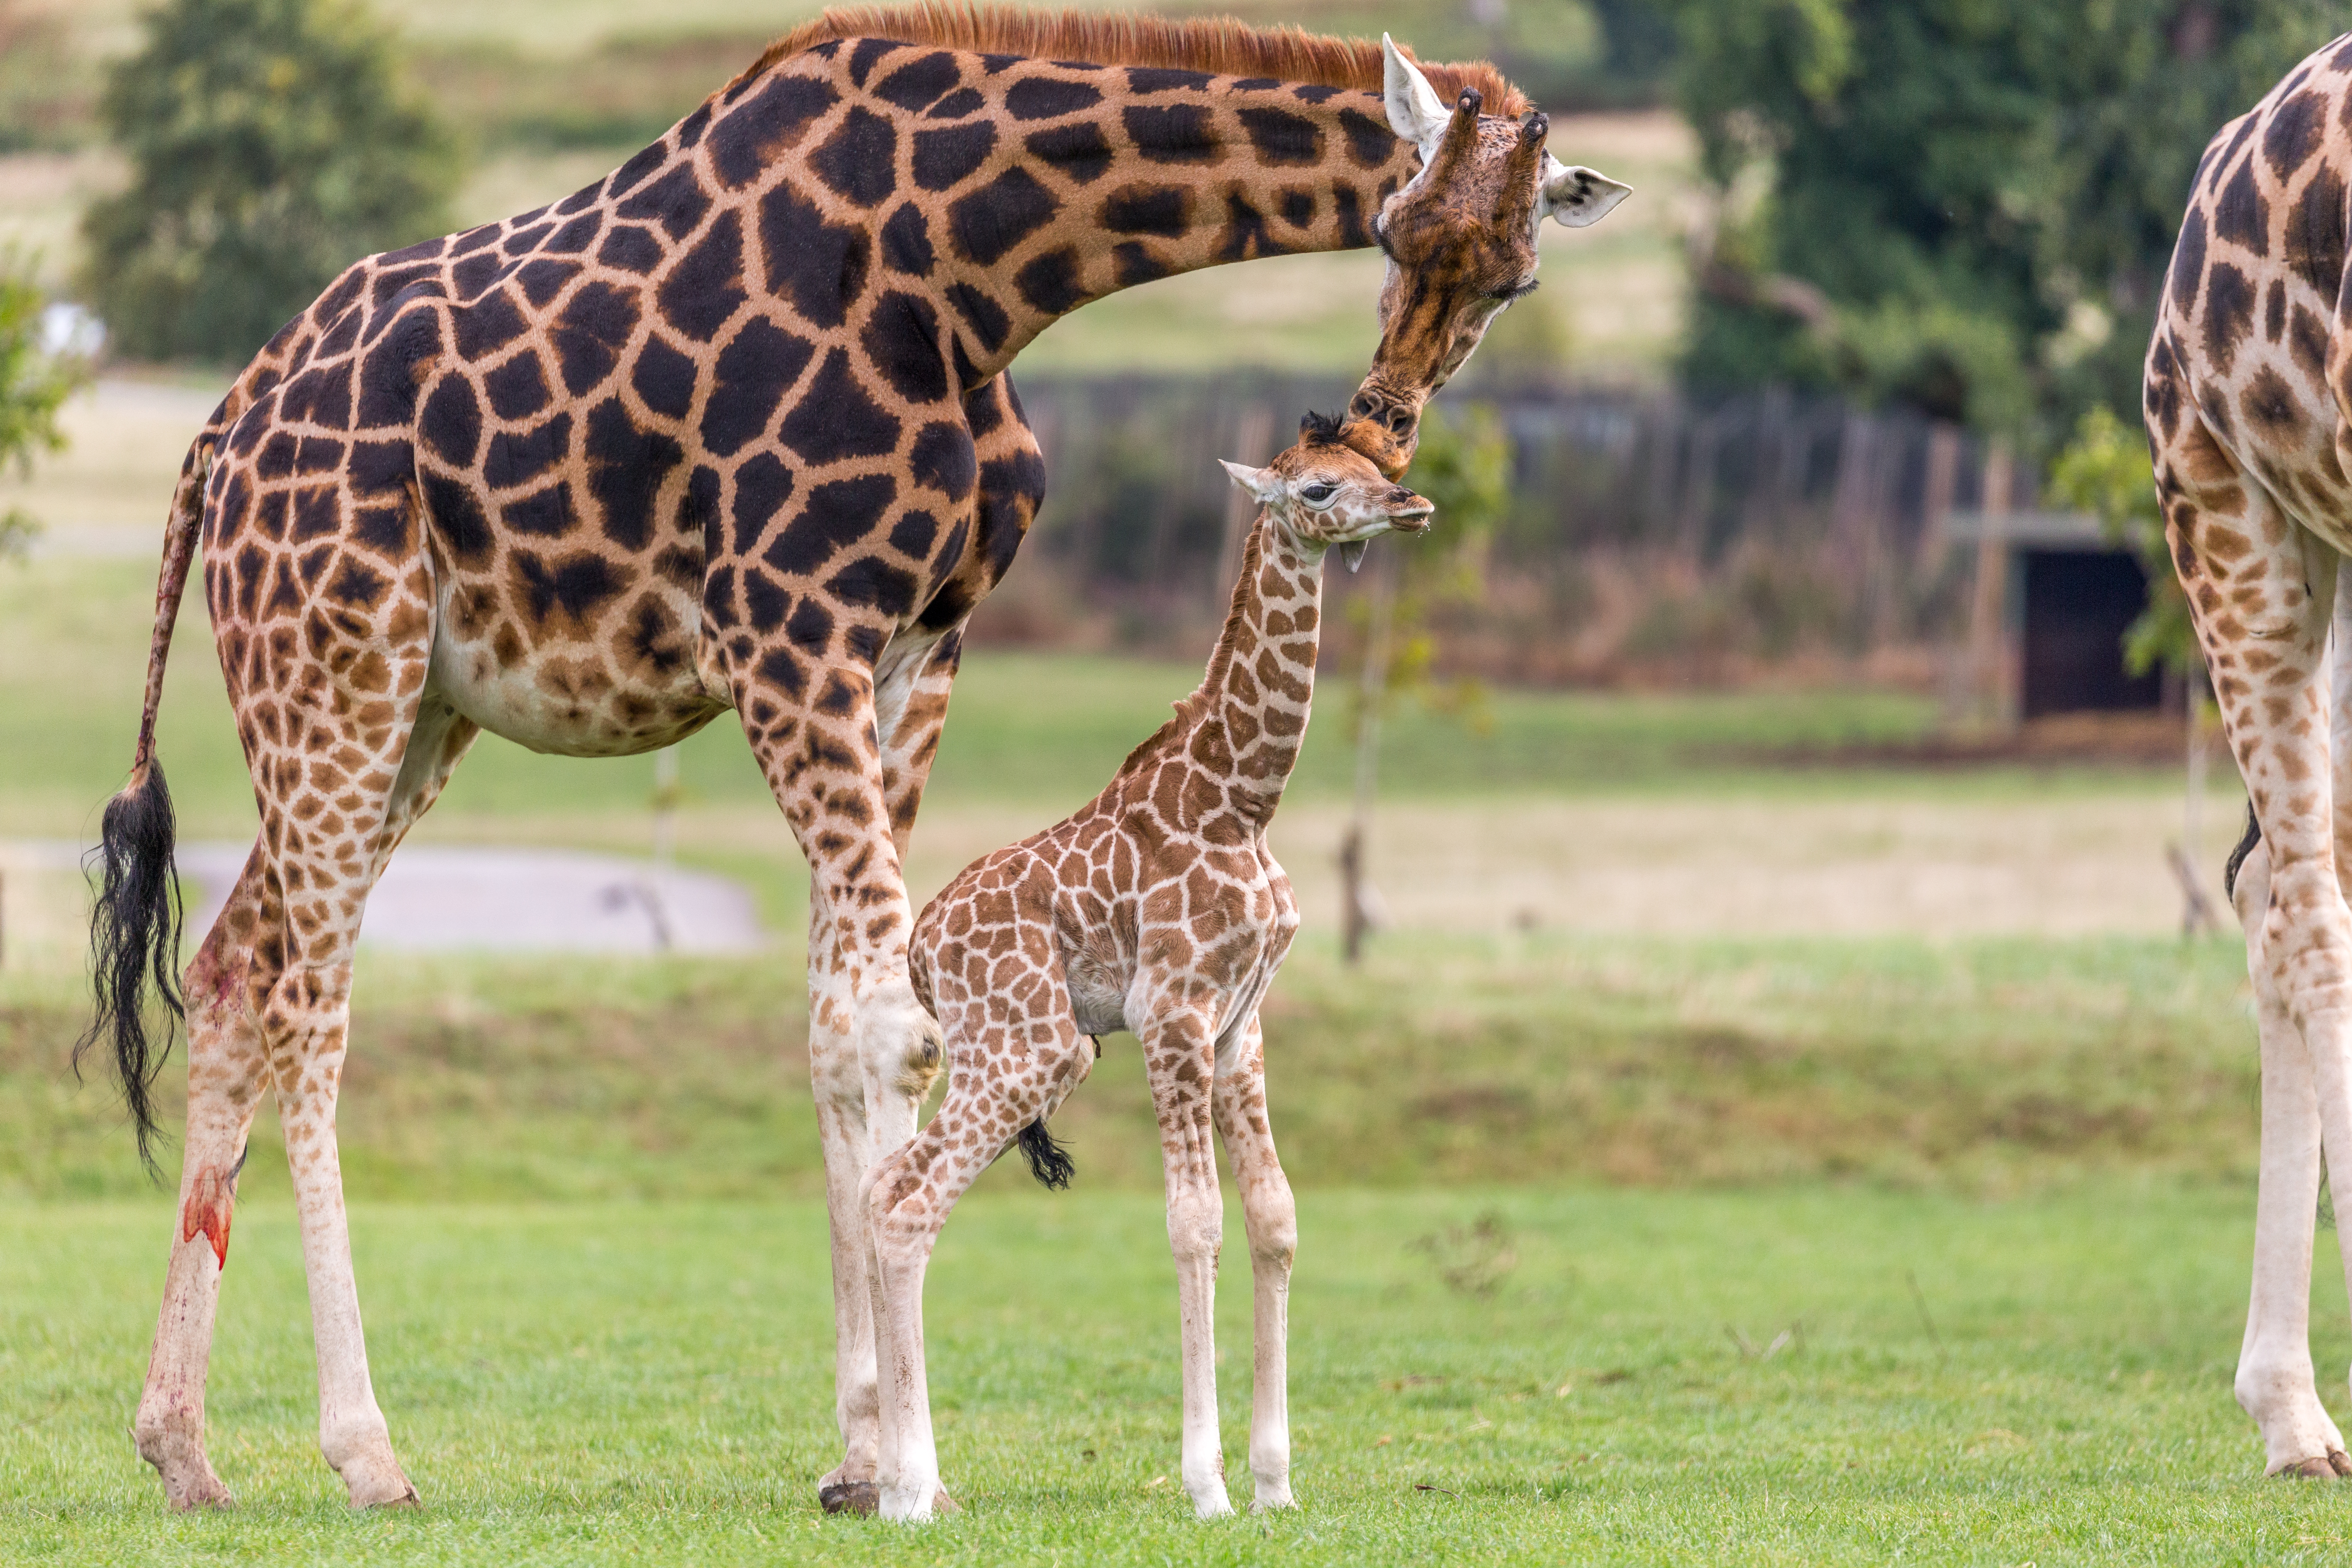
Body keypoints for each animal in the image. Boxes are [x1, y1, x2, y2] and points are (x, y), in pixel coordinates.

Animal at [856, 414, 1421, 1523]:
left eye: (1377, 466)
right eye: (1319, 490)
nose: (1412, 505)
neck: (1239, 801)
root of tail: (922, 949)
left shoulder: (1241, 1022)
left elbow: (1276, 1217)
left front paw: (1275, 1483)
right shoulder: (1173, 1011)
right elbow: (1193, 1222)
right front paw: (1207, 1487)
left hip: (1006, 1053)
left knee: (885, 1185)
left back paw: (912, 1481)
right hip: (1032, 1048)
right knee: (907, 1208)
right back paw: (905, 1493)